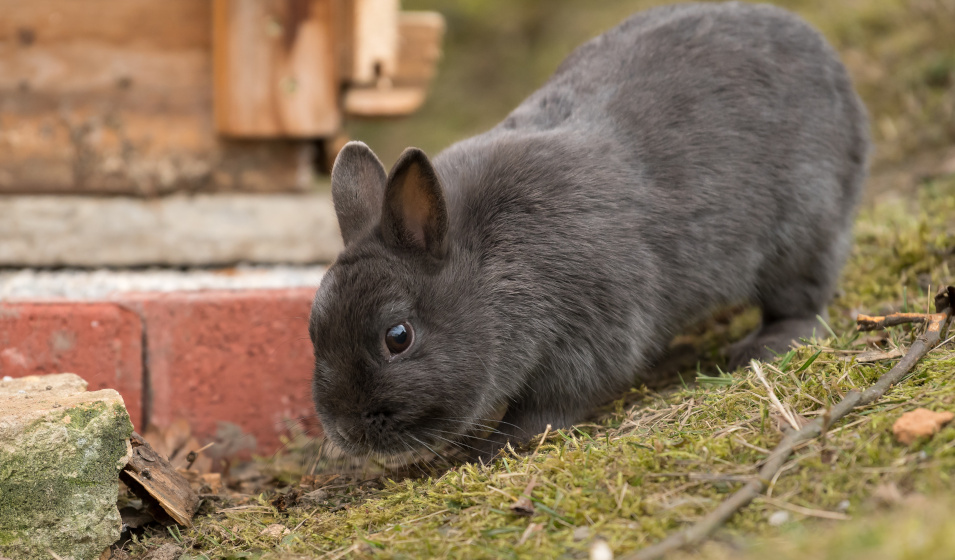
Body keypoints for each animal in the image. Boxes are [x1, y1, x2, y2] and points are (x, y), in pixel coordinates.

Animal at [309, 1, 869, 460]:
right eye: (313, 333)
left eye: (398, 337)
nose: (347, 431)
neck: (486, 266)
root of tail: (836, 73)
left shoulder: (589, 330)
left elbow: (553, 403)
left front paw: (494, 445)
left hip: (804, 231)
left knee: (802, 299)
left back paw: (762, 346)